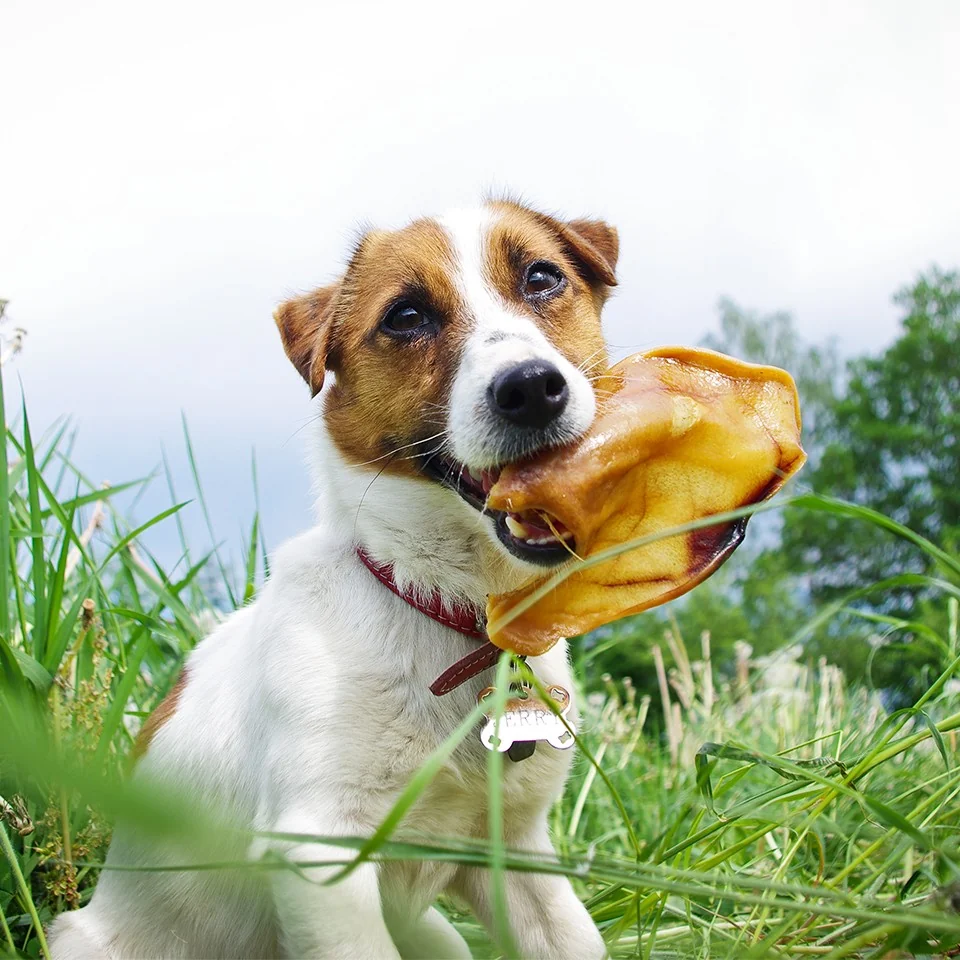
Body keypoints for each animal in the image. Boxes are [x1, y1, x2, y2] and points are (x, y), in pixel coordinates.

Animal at [48, 199, 620, 956]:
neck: (442, 605)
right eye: (406, 316)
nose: (531, 388)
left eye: (542, 277)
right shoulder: (321, 853)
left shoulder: (519, 852)